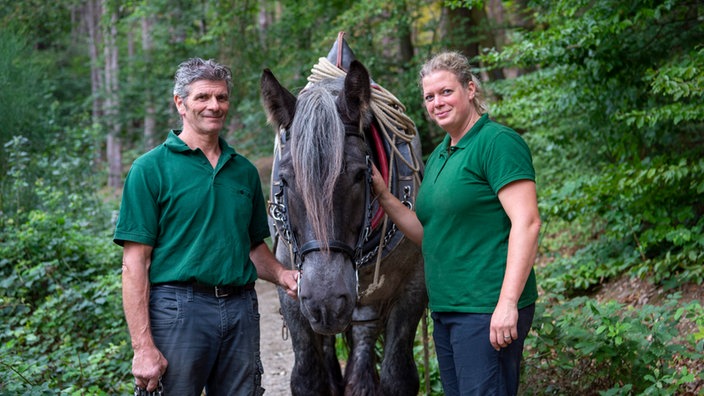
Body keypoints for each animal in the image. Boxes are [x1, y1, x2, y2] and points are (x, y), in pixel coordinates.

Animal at [262, 53, 426, 396]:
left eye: (360, 175)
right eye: (285, 180)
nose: (326, 302)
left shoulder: (413, 289)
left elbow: (398, 376)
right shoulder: (293, 295)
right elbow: (308, 377)